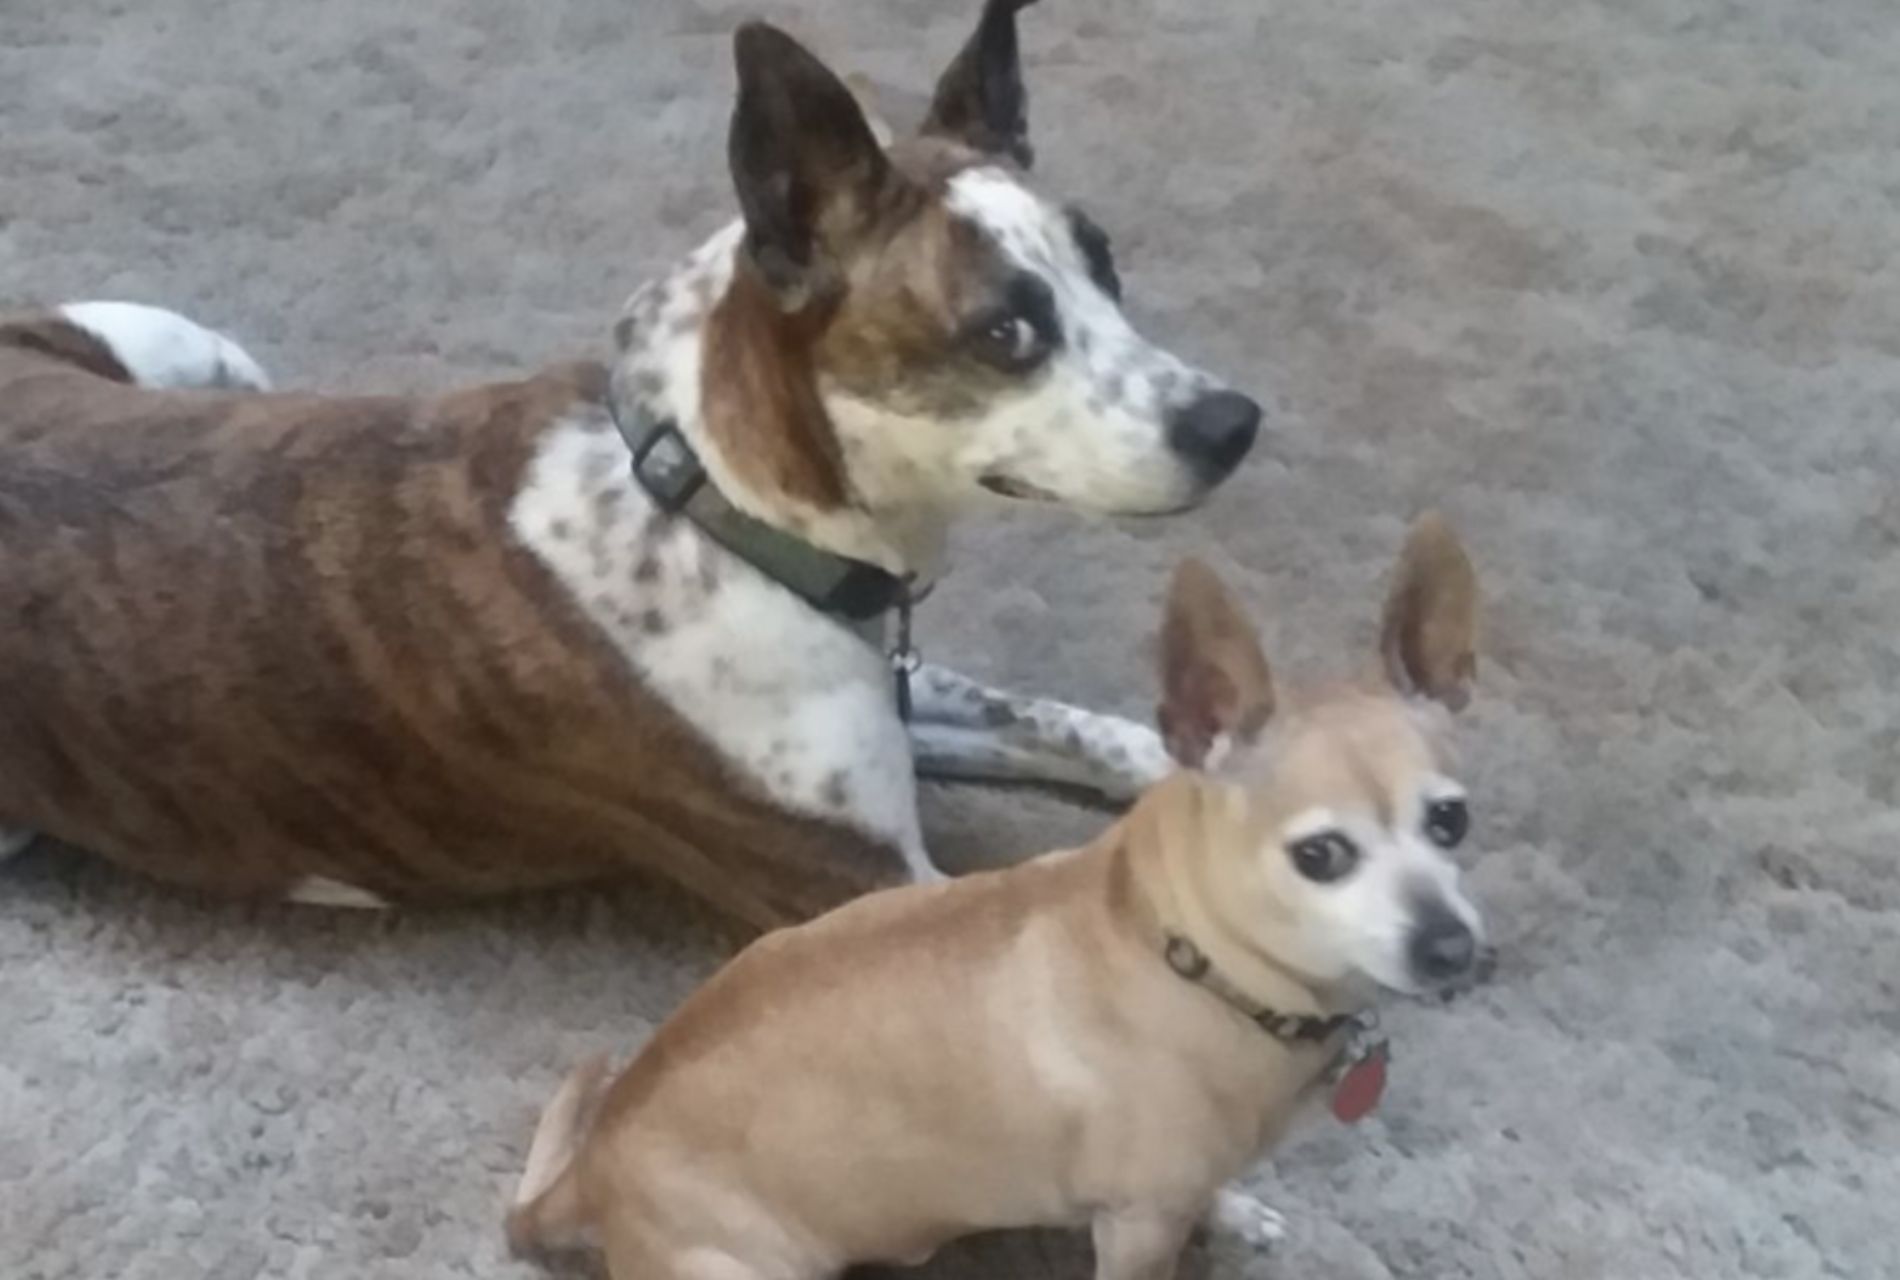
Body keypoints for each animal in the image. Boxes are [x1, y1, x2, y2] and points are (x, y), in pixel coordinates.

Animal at [0, 0, 1261, 922]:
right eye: (1004, 333)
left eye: (1105, 267)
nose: (1235, 420)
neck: (704, 497)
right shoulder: (857, 885)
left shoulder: (894, 702)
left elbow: (1082, 726)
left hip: (196, 353)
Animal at [513, 516, 1489, 1276]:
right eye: (1320, 856)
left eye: (1452, 821)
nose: (1454, 949)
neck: (1192, 959)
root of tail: (589, 1170)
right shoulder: (1137, 1229)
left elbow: (1209, 1190)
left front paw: (1234, 1210)